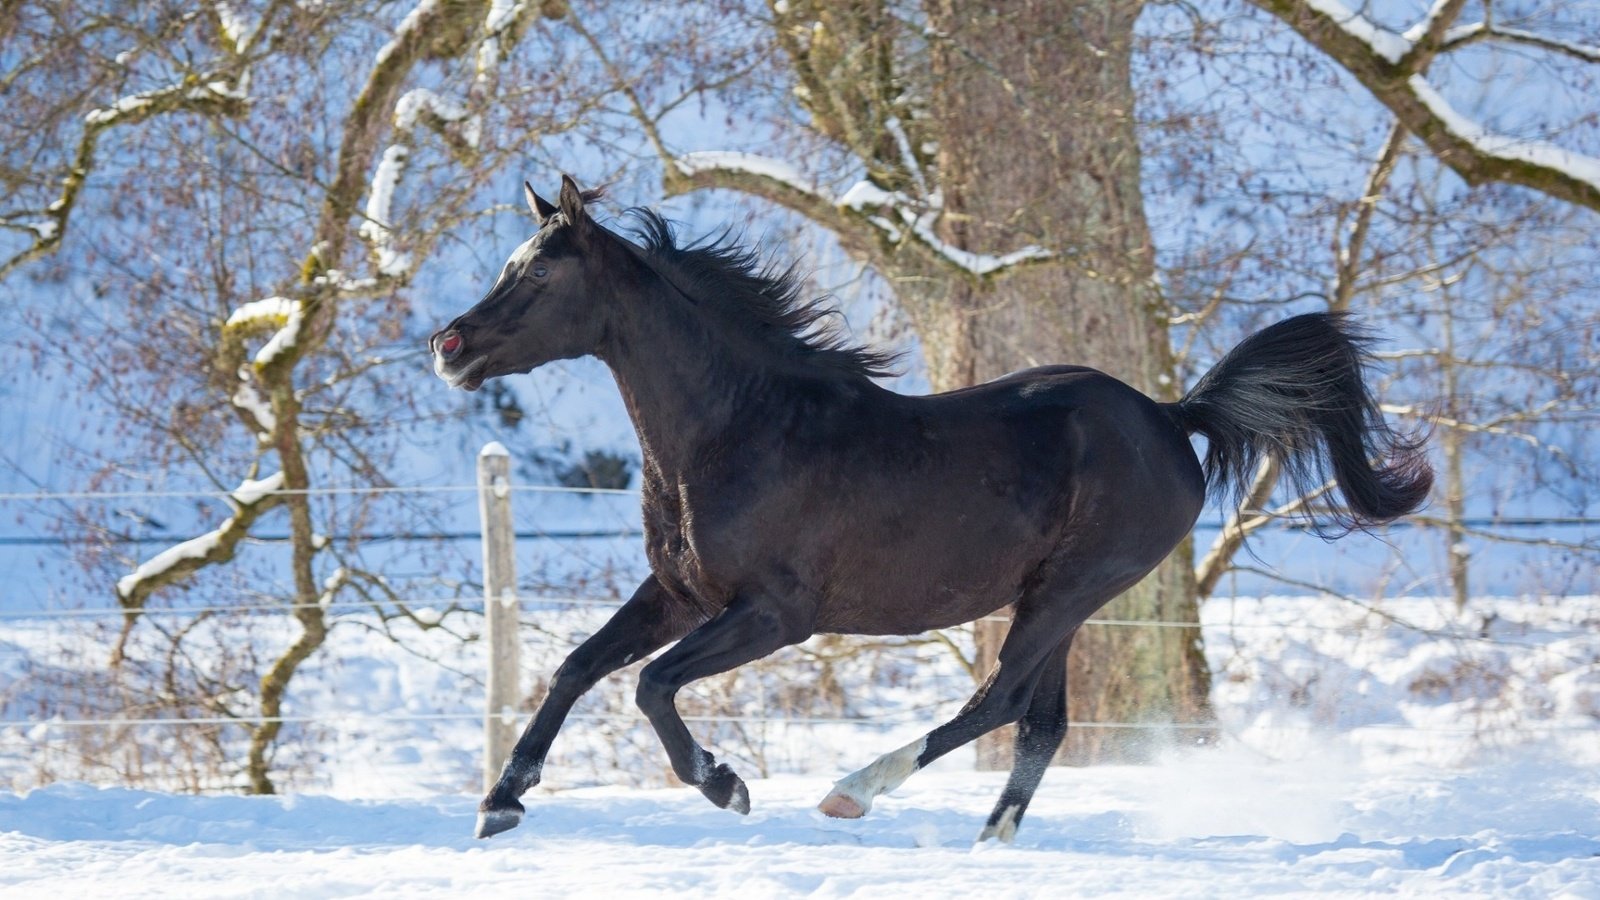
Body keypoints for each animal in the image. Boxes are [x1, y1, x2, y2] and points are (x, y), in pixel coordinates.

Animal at [432, 175, 1433, 839]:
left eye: (540, 276)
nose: (449, 346)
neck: (740, 429)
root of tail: (1170, 415)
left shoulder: (775, 614)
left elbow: (649, 685)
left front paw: (724, 784)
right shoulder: (678, 594)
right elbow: (577, 667)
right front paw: (500, 802)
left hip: (1070, 590)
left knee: (998, 702)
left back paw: (855, 790)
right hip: (1058, 600)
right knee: (1039, 724)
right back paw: (991, 838)